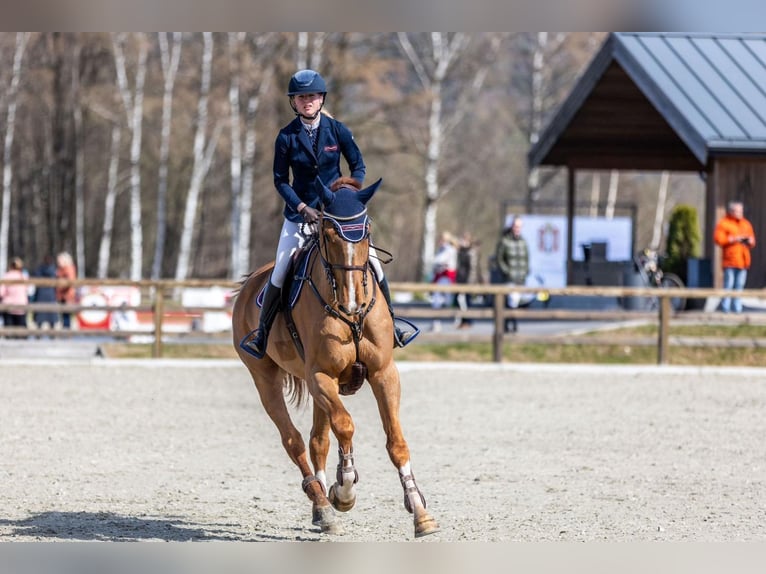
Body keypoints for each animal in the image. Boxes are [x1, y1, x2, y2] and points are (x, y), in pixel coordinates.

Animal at [232, 179, 438, 540]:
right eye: (328, 234)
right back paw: (324, 506)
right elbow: (346, 426)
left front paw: (420, 512)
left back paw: (320, 509)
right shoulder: (321, 376)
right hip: (265, 377)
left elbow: (395, 441)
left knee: (317, 441)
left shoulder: (383, 373)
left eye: (366, 231)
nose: (353, 302)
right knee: (294, 440)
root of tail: (248, 284)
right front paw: (344, 490)